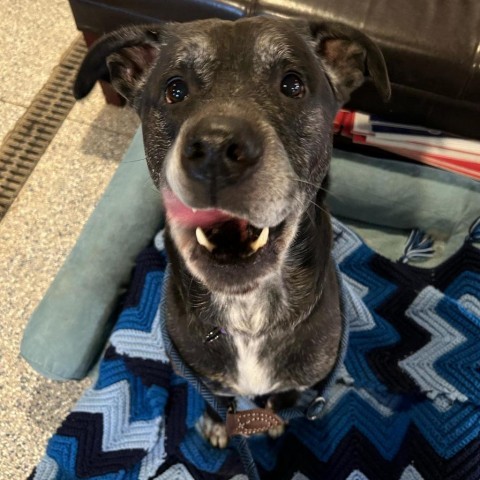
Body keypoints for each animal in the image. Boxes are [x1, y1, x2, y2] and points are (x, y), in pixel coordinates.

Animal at [75, 15, 390, 450]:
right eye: (175, 90)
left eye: (292, 84)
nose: (215, 149)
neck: (249, 315)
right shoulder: (201, 375)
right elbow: (215, 400)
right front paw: (216, 425)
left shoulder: (301, 377)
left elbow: (281, 396)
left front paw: (273, 419)